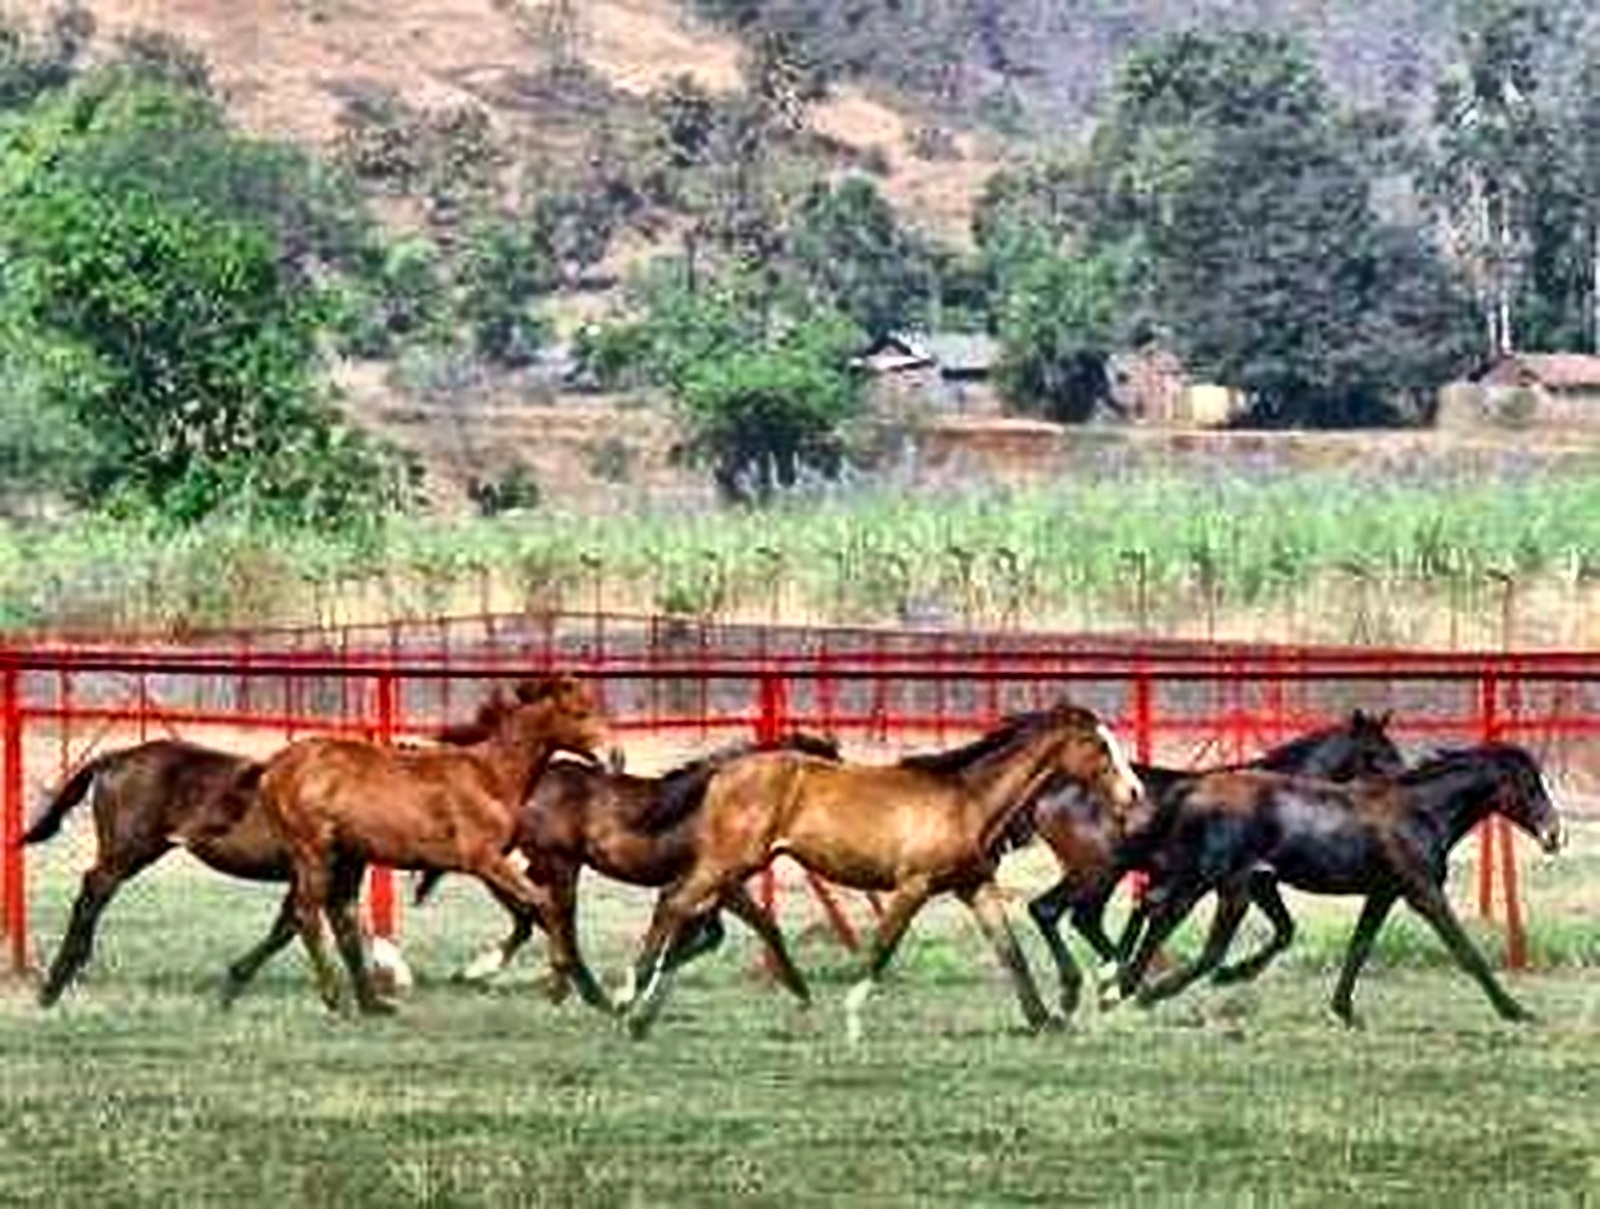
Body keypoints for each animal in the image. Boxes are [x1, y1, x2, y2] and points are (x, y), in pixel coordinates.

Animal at [21, 681, 565, 1008]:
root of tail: (112, 759)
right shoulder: (317, 871)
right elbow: (303, 925)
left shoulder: (318, 875)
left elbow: (289, 927)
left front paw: (234, 984)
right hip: (128, 850)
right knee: (92, 892)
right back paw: (57, 979)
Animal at [410, 731, 844, 1008]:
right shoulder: (718, 882)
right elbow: (746, 926)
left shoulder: (715, 887)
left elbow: (714, 933)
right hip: (561, 863)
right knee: (549, 912)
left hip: (546, 863)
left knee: (529, 907)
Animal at [620, 702, 1147, 1041]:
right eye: (1100, 747)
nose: (1135, 792)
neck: (967, 799)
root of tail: (722, 771)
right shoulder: (913, 887)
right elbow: (881, 948)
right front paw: (852, 1021)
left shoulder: (974, 886)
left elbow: (1010, 952)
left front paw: (1044, 1020)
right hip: (728, 862)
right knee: (675, 901)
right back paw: (628, 997)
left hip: (733, 866)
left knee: (690, 911)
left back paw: (643, 1015)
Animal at [1020, 709, 1406, 1013]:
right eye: (1373, 755)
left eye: (1394, 751)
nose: (1402, 784)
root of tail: (1046, 795)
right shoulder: (1256, 881)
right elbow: (1283, 929)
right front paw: (1232, 974)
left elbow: (1284, 931)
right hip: (1098, 871)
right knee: (1053, 911)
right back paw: (1093, 989)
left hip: (1100, 875)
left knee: (1079, 917)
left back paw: (1114, 982)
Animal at [1114, 743, 1565, 1024]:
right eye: (1529, 786)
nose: (1554, 835)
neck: (1419, 812)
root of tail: (1194, 788)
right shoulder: (1423, 893)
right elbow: (1466, 951)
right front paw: (1515, 1010)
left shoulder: (1383, 893)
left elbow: (1359, 947)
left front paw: (1343, 1010)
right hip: (1222, 883)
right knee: (1186, 933)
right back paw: (1145, 990)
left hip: (1222, 880)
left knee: (1158, 912)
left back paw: (1127, 985)